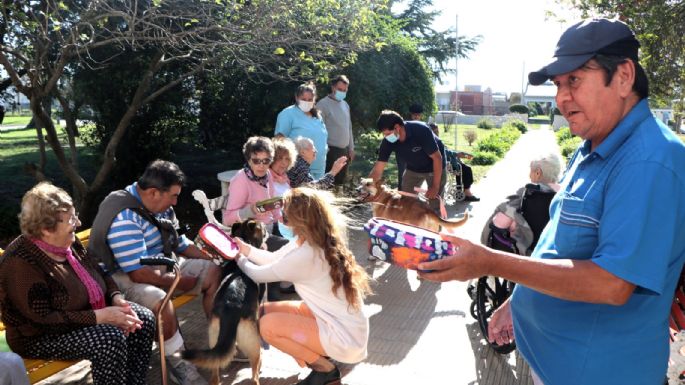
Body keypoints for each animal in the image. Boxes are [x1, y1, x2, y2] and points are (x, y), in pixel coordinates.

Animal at [182, 219, 268, 384]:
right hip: (254, 345)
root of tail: (231, 306)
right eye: (262, 226)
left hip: (214, 340)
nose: (267, 226)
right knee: (255, 375)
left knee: (215, 375)